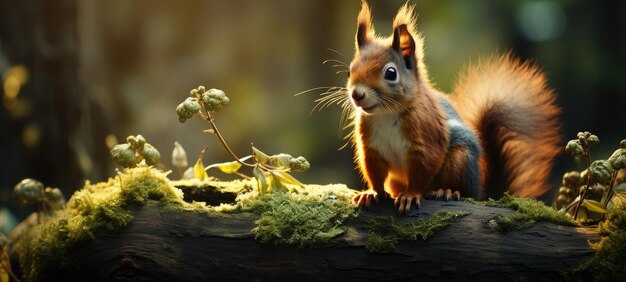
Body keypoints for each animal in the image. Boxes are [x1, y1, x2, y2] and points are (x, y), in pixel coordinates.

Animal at [348, 0, 560, 212]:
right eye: (350, 70)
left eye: (390, 73)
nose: (357, 94)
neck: (386, 113)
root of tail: (480, 192)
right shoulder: (371, 148)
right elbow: (374, 172)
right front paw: (373, 193)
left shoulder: (427, 136)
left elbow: (424, 168)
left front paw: (410, 195)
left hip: (461, 159)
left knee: (464, 191)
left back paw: (447, 191)